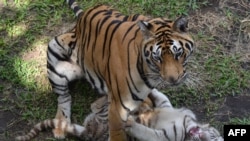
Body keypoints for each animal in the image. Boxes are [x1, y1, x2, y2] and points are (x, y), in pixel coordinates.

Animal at [47, 0, 194, 140]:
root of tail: (84, 15)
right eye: (157, 57)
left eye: (178, 53)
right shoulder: (118, 110)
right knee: (64, 97)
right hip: (55, 52)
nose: (173, 79)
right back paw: (60, 127)